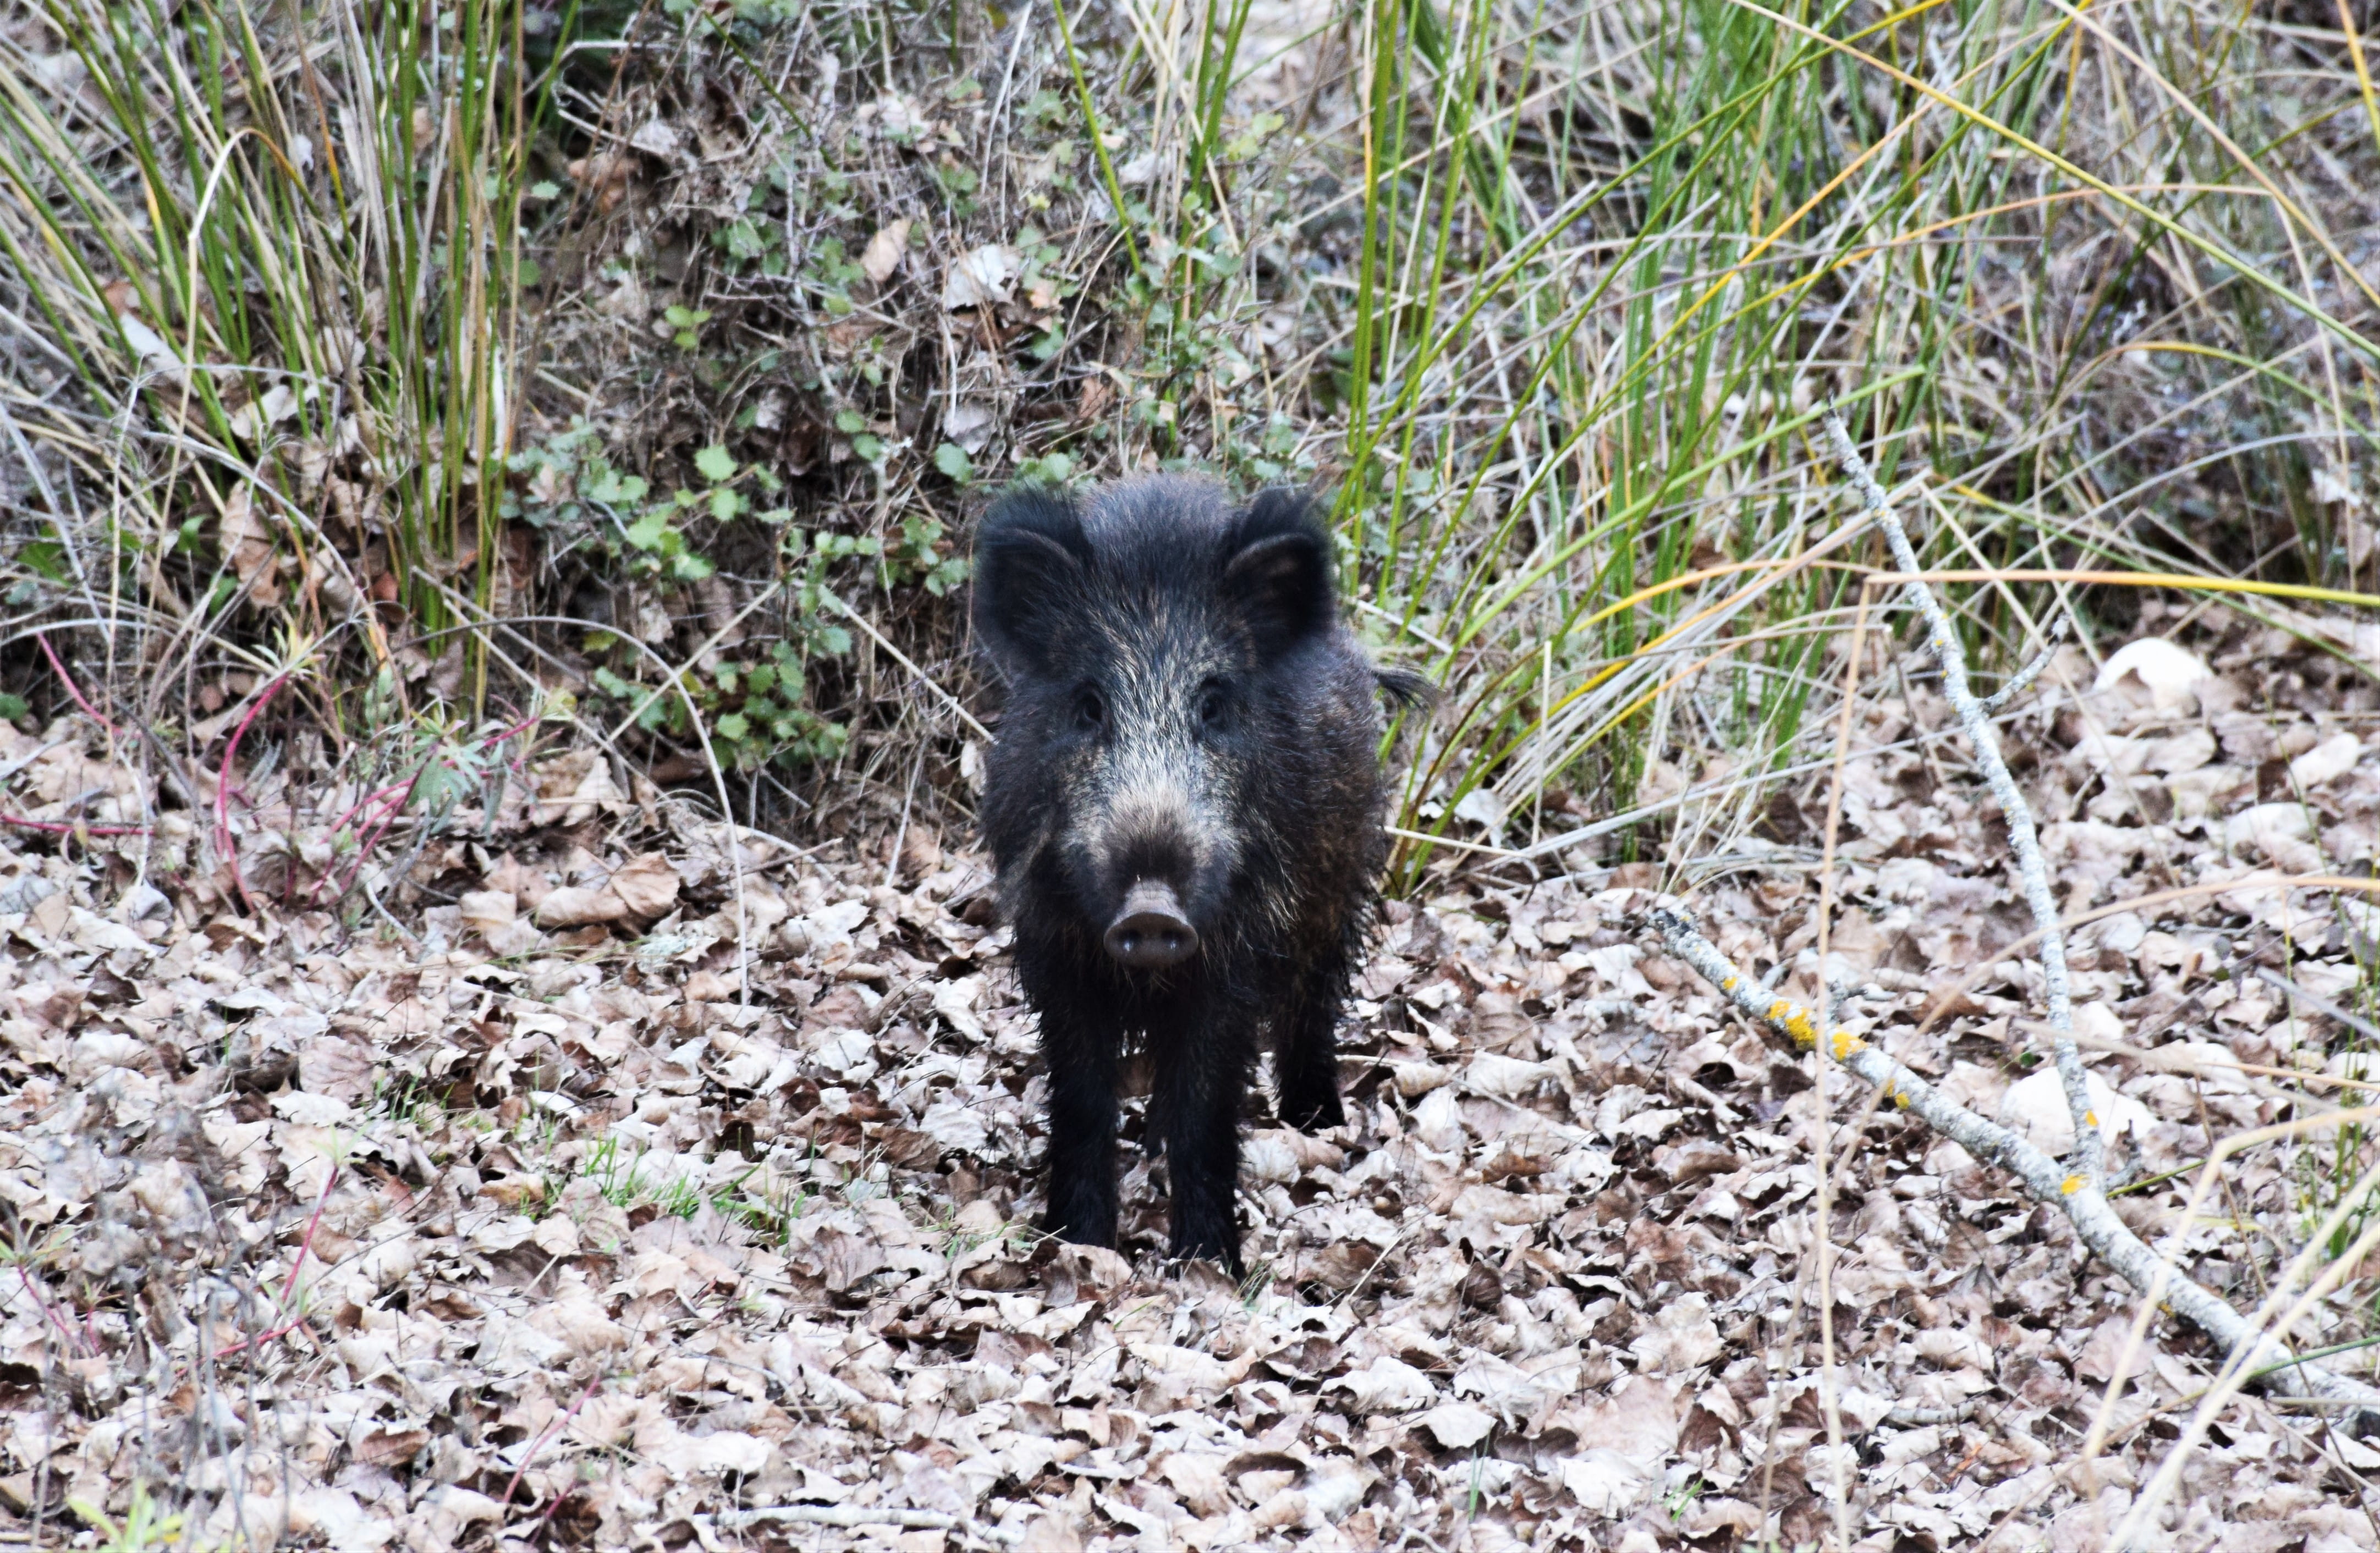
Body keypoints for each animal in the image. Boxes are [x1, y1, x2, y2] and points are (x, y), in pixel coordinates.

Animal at [971, 475, 1429, 1274]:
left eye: (1213, 706)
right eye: (1088, 706)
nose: (1151, 911)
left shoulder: (1236, 953)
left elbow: (1206, 1100)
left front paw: (1208, 1263)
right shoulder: (1053, 947)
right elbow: (1082, 1098)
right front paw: (1077, 1244)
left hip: (1337, 885)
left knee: (1313, 1000)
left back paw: (1316, 1120)